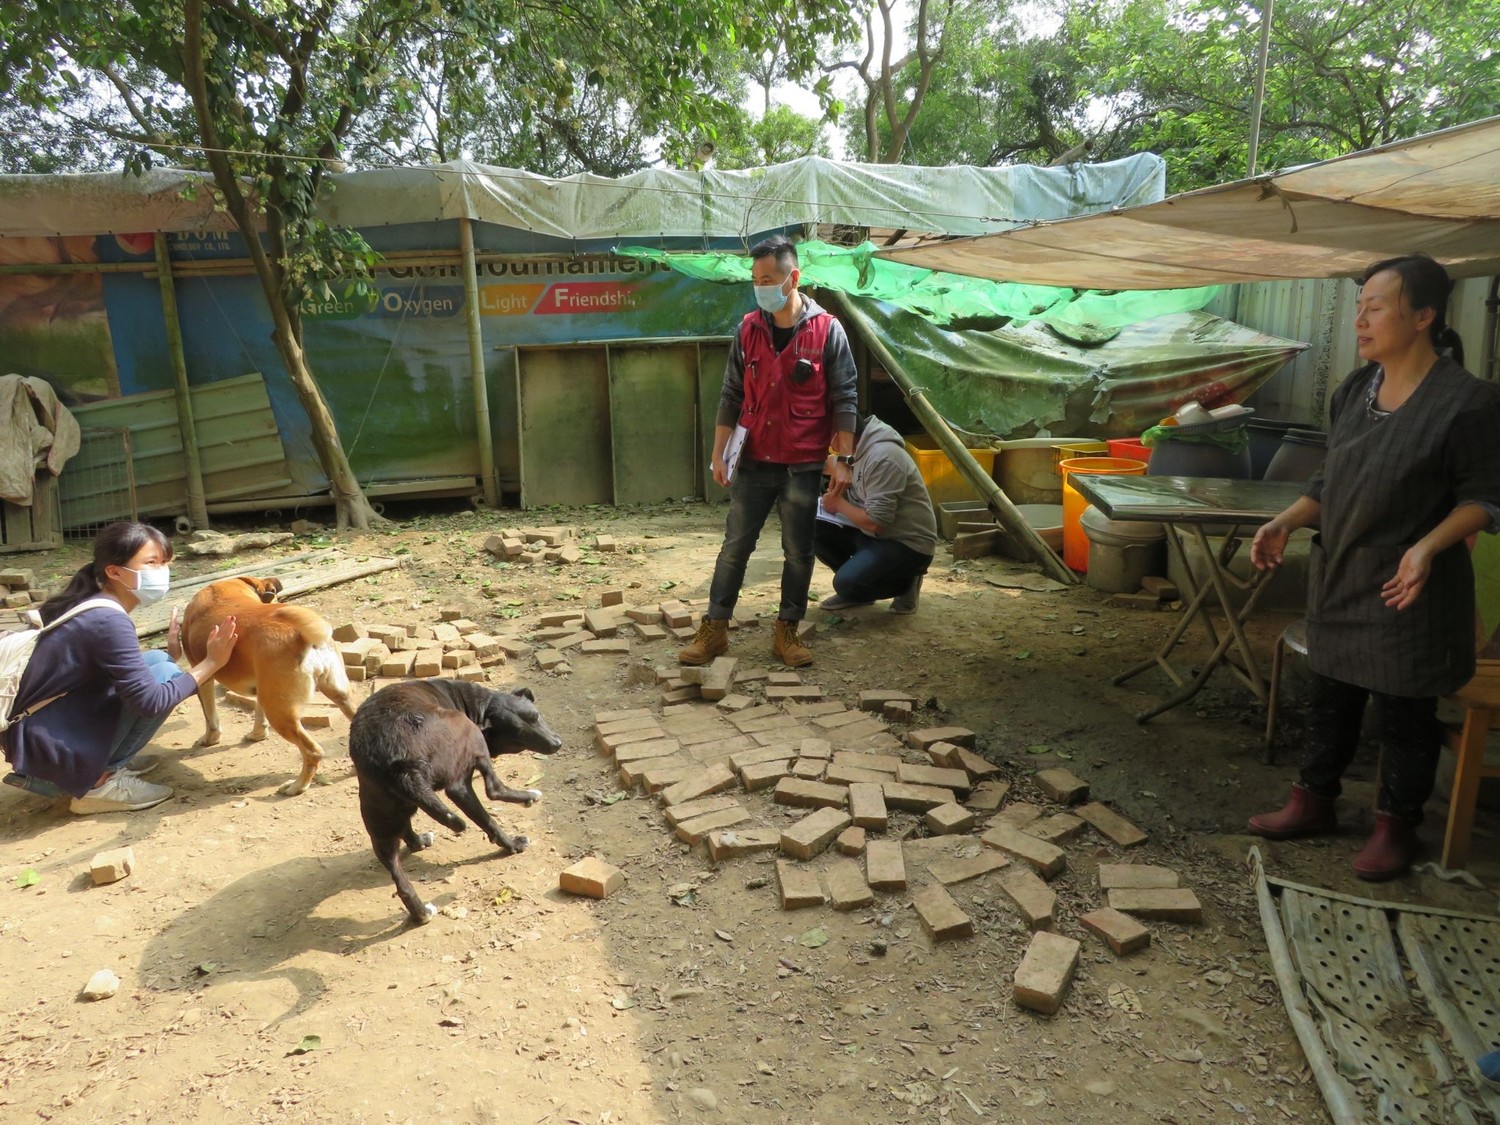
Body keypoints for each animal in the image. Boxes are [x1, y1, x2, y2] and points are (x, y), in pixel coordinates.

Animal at [180, 582, 355, 792]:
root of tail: (301, 633)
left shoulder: (203, 679)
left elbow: (210, 717)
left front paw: (209, 740)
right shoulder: (261, 687)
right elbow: (258, 714)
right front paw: (257, 735)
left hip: (280, 714)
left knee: (313, 752)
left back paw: (296, 787)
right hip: (337, 695)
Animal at [345, 678, 564, 924]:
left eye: (536, 716)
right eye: (519, 735)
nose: (557, 743)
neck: (479, 704)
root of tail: (402, 767)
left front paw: (417, 841)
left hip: (379, 816)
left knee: (398, 875)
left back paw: (420, 911)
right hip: (466, 739)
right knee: (492, 791)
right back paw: (518, 832)